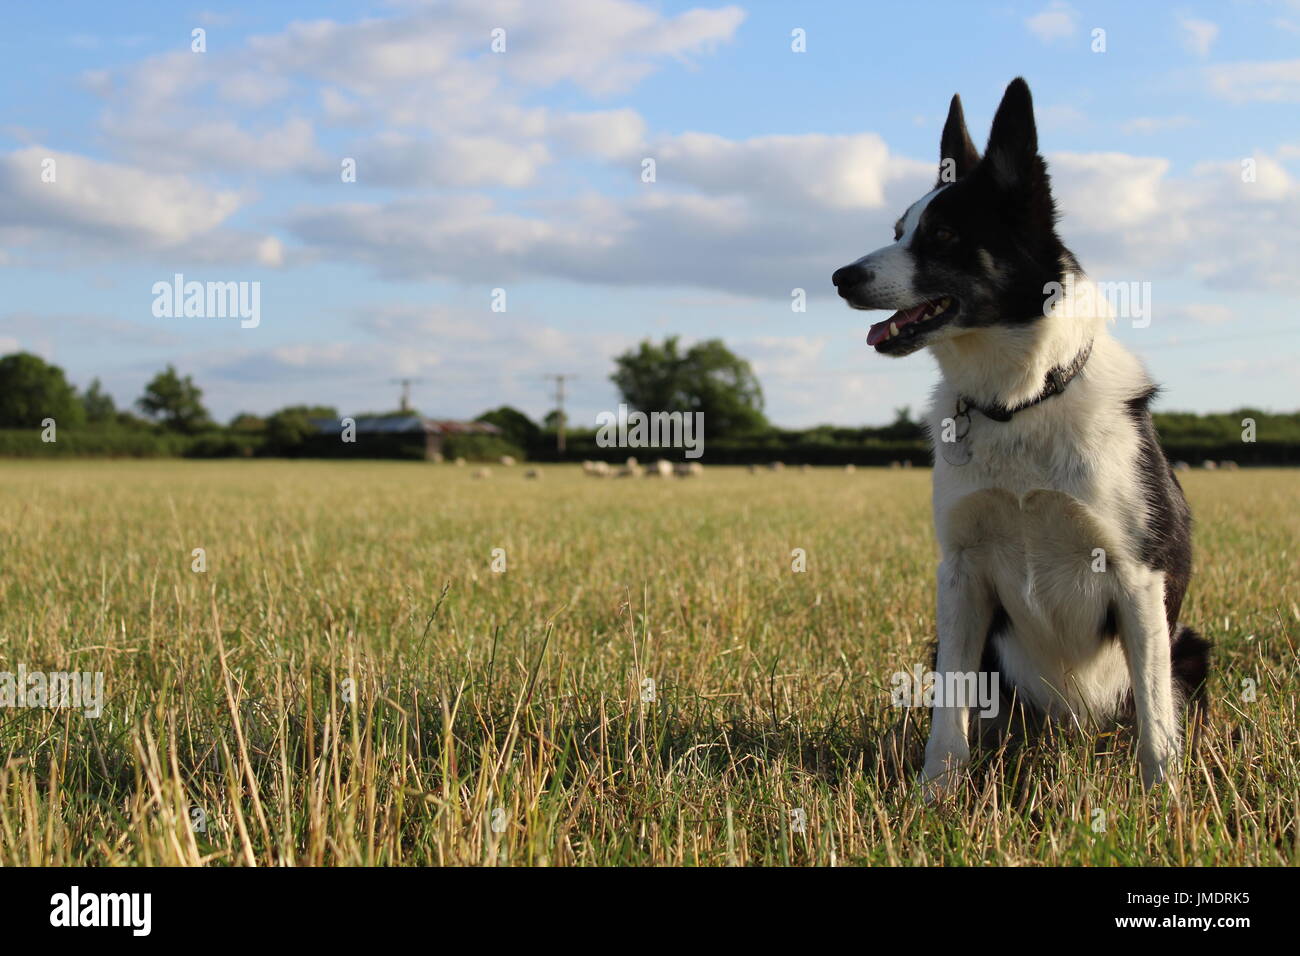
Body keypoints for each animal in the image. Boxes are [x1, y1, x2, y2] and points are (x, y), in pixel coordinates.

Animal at [832, 78, 1206, 796]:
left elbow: (1155, 717)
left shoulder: (1138, 578)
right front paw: (936, 791)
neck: (1018, 402)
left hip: (1190, 645)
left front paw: (1163, 799)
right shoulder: (961, 574)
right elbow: (949, 709)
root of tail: (1070, 729)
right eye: (898, 231)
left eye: (944, 233)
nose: (840, 277)